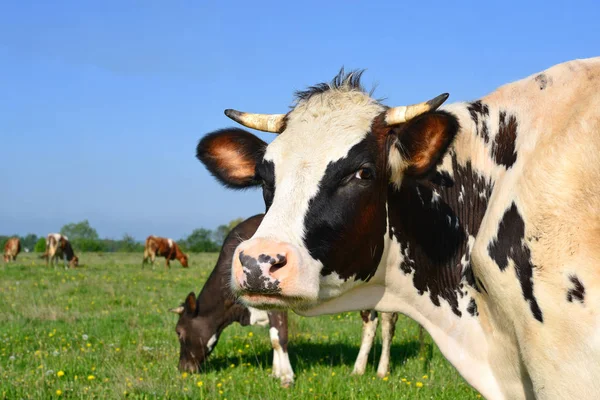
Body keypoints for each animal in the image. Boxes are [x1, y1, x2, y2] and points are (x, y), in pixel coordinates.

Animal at [171, 214, 406, 386]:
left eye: (179, 332)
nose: (183, 369)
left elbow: (280, 337)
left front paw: (286, 377)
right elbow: (273, 336)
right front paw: (276, 372)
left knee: (388, 324)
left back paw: (381, 371)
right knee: (370, 323)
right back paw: (358, 370)